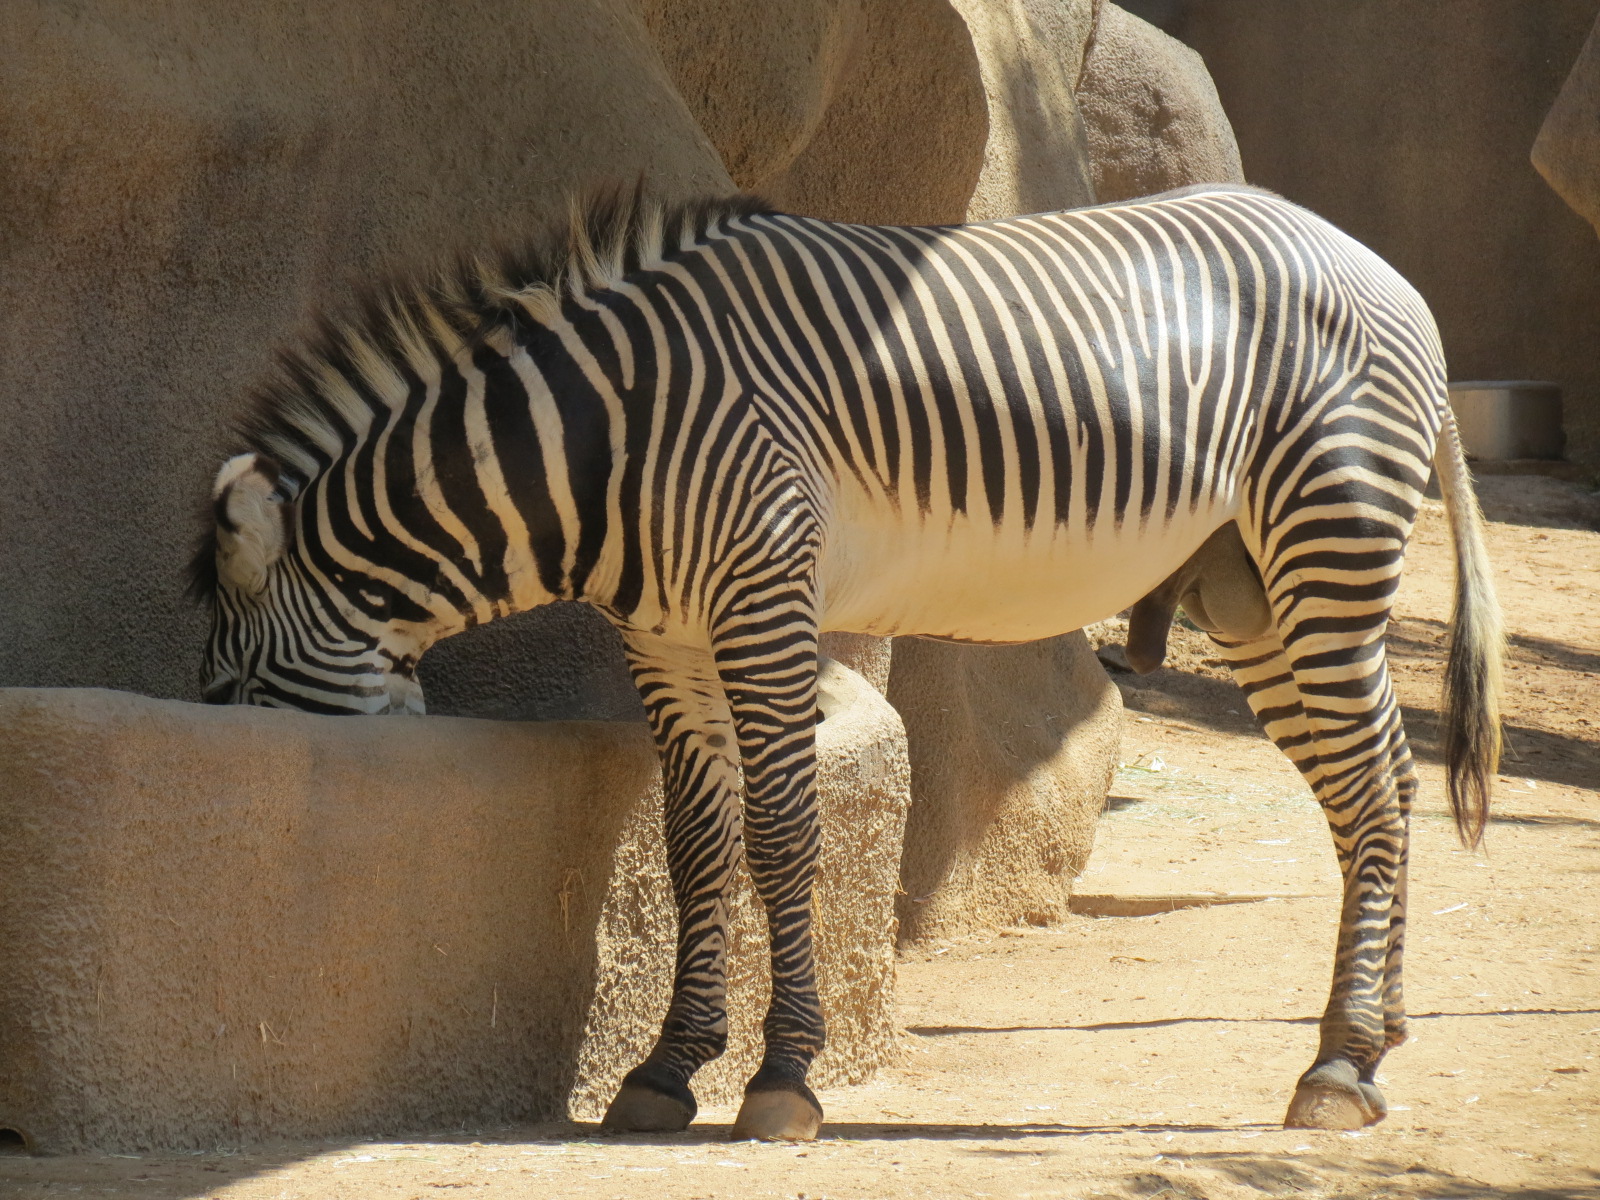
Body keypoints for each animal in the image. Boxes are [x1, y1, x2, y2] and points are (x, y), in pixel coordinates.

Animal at [191, 182, 1502, 1141]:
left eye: (224, 694)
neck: (598, 447)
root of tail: (1381, 268)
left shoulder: (764, 606)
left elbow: (781, 833)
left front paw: (781, 1081)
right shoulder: (668, 639)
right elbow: (694, 847)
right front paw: (666, 1072)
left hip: (1325, 542)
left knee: (1370, 794)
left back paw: (1336, 1068)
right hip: (1251, 591)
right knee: (1376, 787)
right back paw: (1373, 1040)